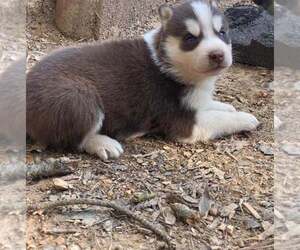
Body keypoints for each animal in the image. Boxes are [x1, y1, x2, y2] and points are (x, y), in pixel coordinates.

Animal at [27, 0, 258, 160]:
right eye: (190, 38)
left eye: (222, 33)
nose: (217, 54)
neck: (168, 60)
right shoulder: (182, 122)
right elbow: (219, 119)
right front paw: (246, 118)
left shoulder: (195, 101)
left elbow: (210, 105)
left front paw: (227, 106)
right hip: (78, 97)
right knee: (74, 139)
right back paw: (104, 143)